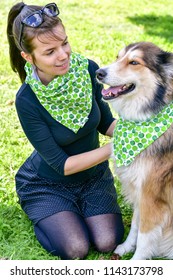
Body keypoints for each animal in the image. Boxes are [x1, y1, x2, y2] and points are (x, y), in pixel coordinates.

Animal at [96, 42, 173, 260]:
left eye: (134, 62)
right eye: (118, 57)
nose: (98, 73)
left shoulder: (150, 196)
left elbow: (145, 235)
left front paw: (137, 259)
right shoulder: (139, 190)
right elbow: (136, 226)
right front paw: (126, 247)